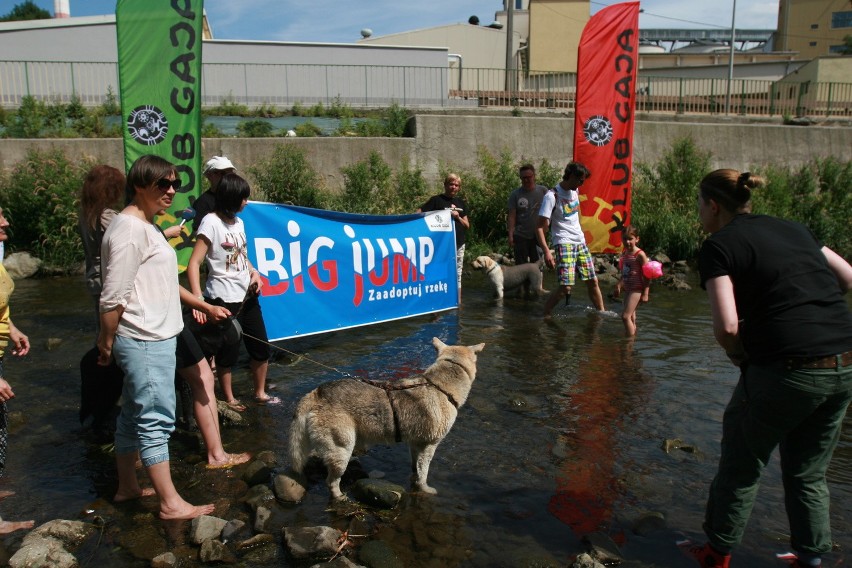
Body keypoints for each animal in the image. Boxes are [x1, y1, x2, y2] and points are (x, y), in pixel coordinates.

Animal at [286, 340, 486, 500]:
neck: (440, 386)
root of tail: (316, 393)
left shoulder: (415, 444)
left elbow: (415, 467)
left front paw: (414, 479)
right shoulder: (429, 445)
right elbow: (424, 472)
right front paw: (425, 489)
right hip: (342, 450)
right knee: (331, 482)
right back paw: (340, 497)